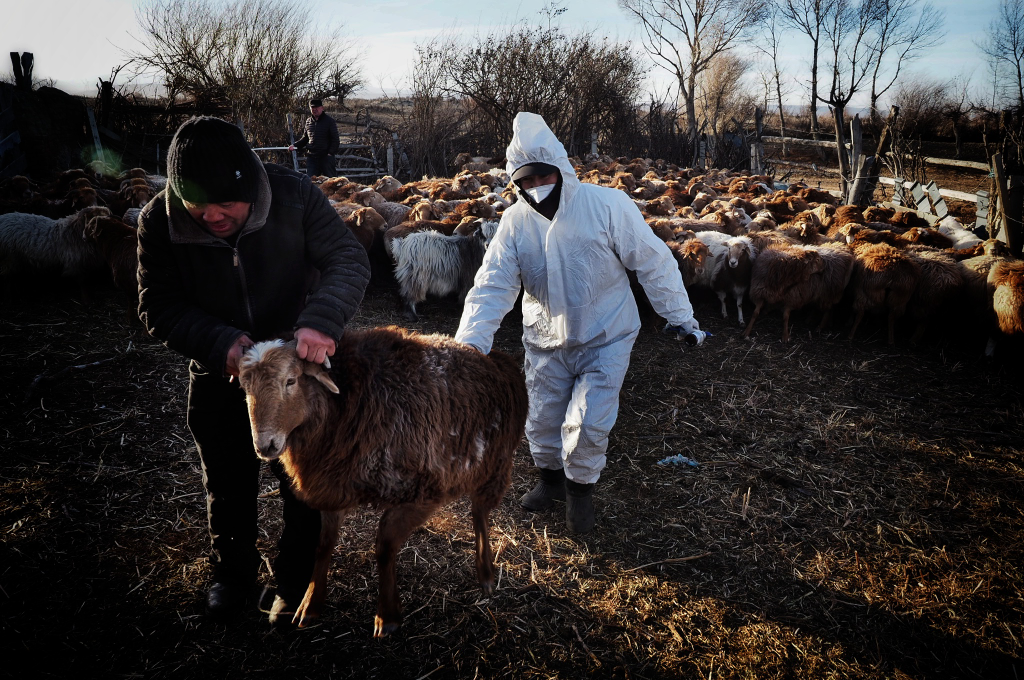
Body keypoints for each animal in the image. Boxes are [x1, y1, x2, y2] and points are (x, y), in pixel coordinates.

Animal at [238, 331, 528, 634]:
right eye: (245, 388)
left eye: (291, 381)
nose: (265, 446)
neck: (346, 406)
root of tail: (499, 359)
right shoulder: (332, 484)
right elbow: (324, 544)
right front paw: (310, 604)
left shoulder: (421, 494)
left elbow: (385, 548)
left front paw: (387, 615)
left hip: (495, 465)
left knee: (480, 513)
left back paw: (486, 573)